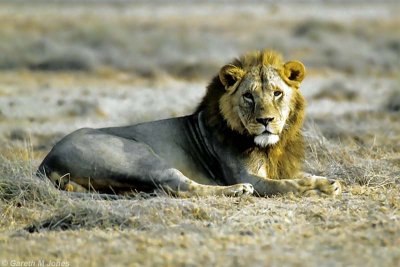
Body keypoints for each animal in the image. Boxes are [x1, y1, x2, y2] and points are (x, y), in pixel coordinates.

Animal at [37, 49, 342, 198]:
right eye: (248, 96)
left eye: (277, 93)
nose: (266, 121)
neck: (269, 146)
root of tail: (46, 162)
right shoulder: (247, 174)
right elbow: (287, 185)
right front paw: (322, 188)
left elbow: (302, 175)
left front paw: (325, 180)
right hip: (140, 156)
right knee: (178, 185)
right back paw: (237, 191)